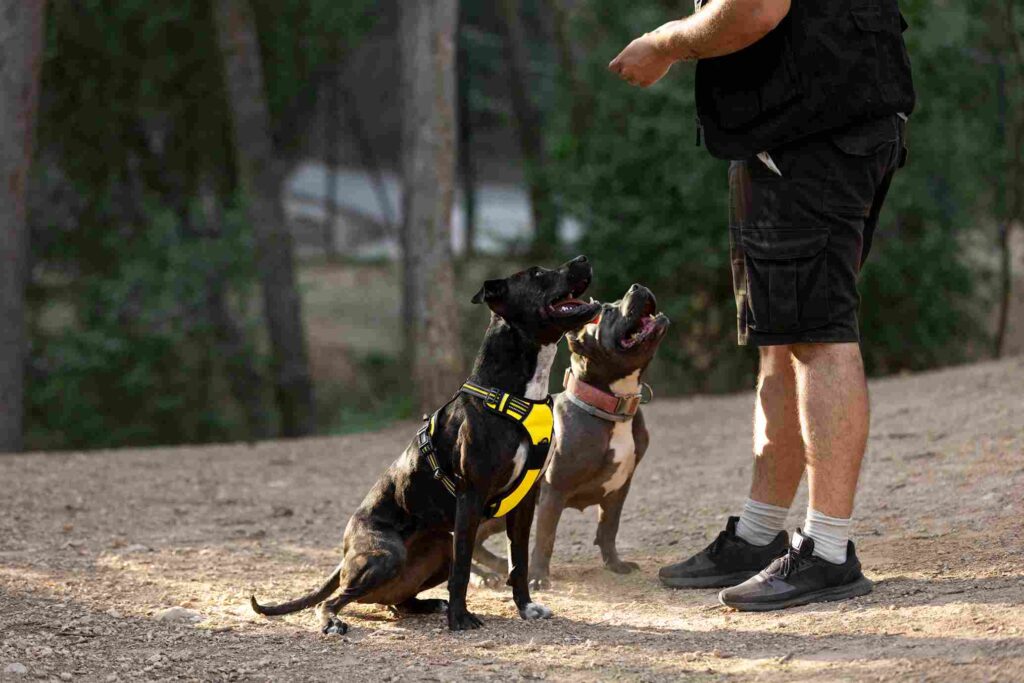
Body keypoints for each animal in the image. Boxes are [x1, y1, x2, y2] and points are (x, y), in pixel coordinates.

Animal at [249, 258, 598, 634]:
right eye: (537, 274)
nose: (582, 260)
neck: (513, 393)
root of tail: (346, 552)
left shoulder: (525, 500)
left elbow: (518, 561)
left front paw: (526, 607)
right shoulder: (471, 495)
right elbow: (463, 570)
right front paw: (460, 618)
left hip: (439, 545)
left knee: (397, 602)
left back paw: (429, 604)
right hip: (386, 555)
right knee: (333, 600)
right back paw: (335, 621)